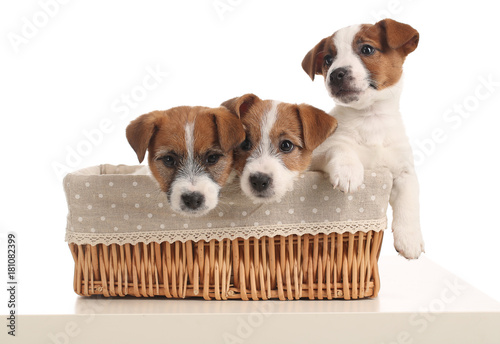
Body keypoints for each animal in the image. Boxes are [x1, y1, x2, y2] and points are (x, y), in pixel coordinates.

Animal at [302, 19, 424, 258]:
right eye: (328, 60)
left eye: (367, 49)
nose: (335, 74)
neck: (371, 118)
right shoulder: (319, 154)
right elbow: (341, 147)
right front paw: (348, 171)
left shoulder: (404, 171)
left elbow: (410, 203)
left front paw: (410, 239)